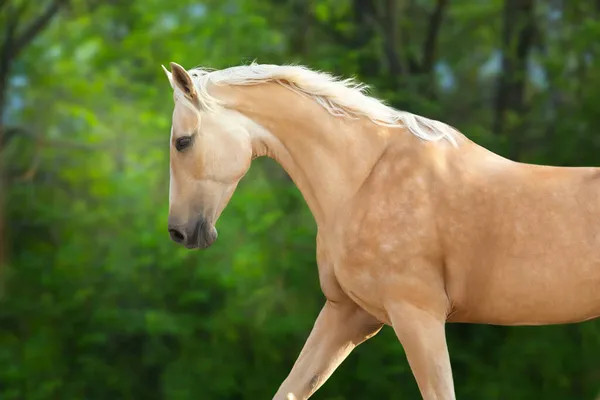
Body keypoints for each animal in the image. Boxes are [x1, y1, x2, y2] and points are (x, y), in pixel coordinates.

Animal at [162, 60, 600, 400]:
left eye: (183, 142)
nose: (180, 233)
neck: (364, 179)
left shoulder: (418, 318)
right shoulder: (346, 314)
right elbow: (290, 388)